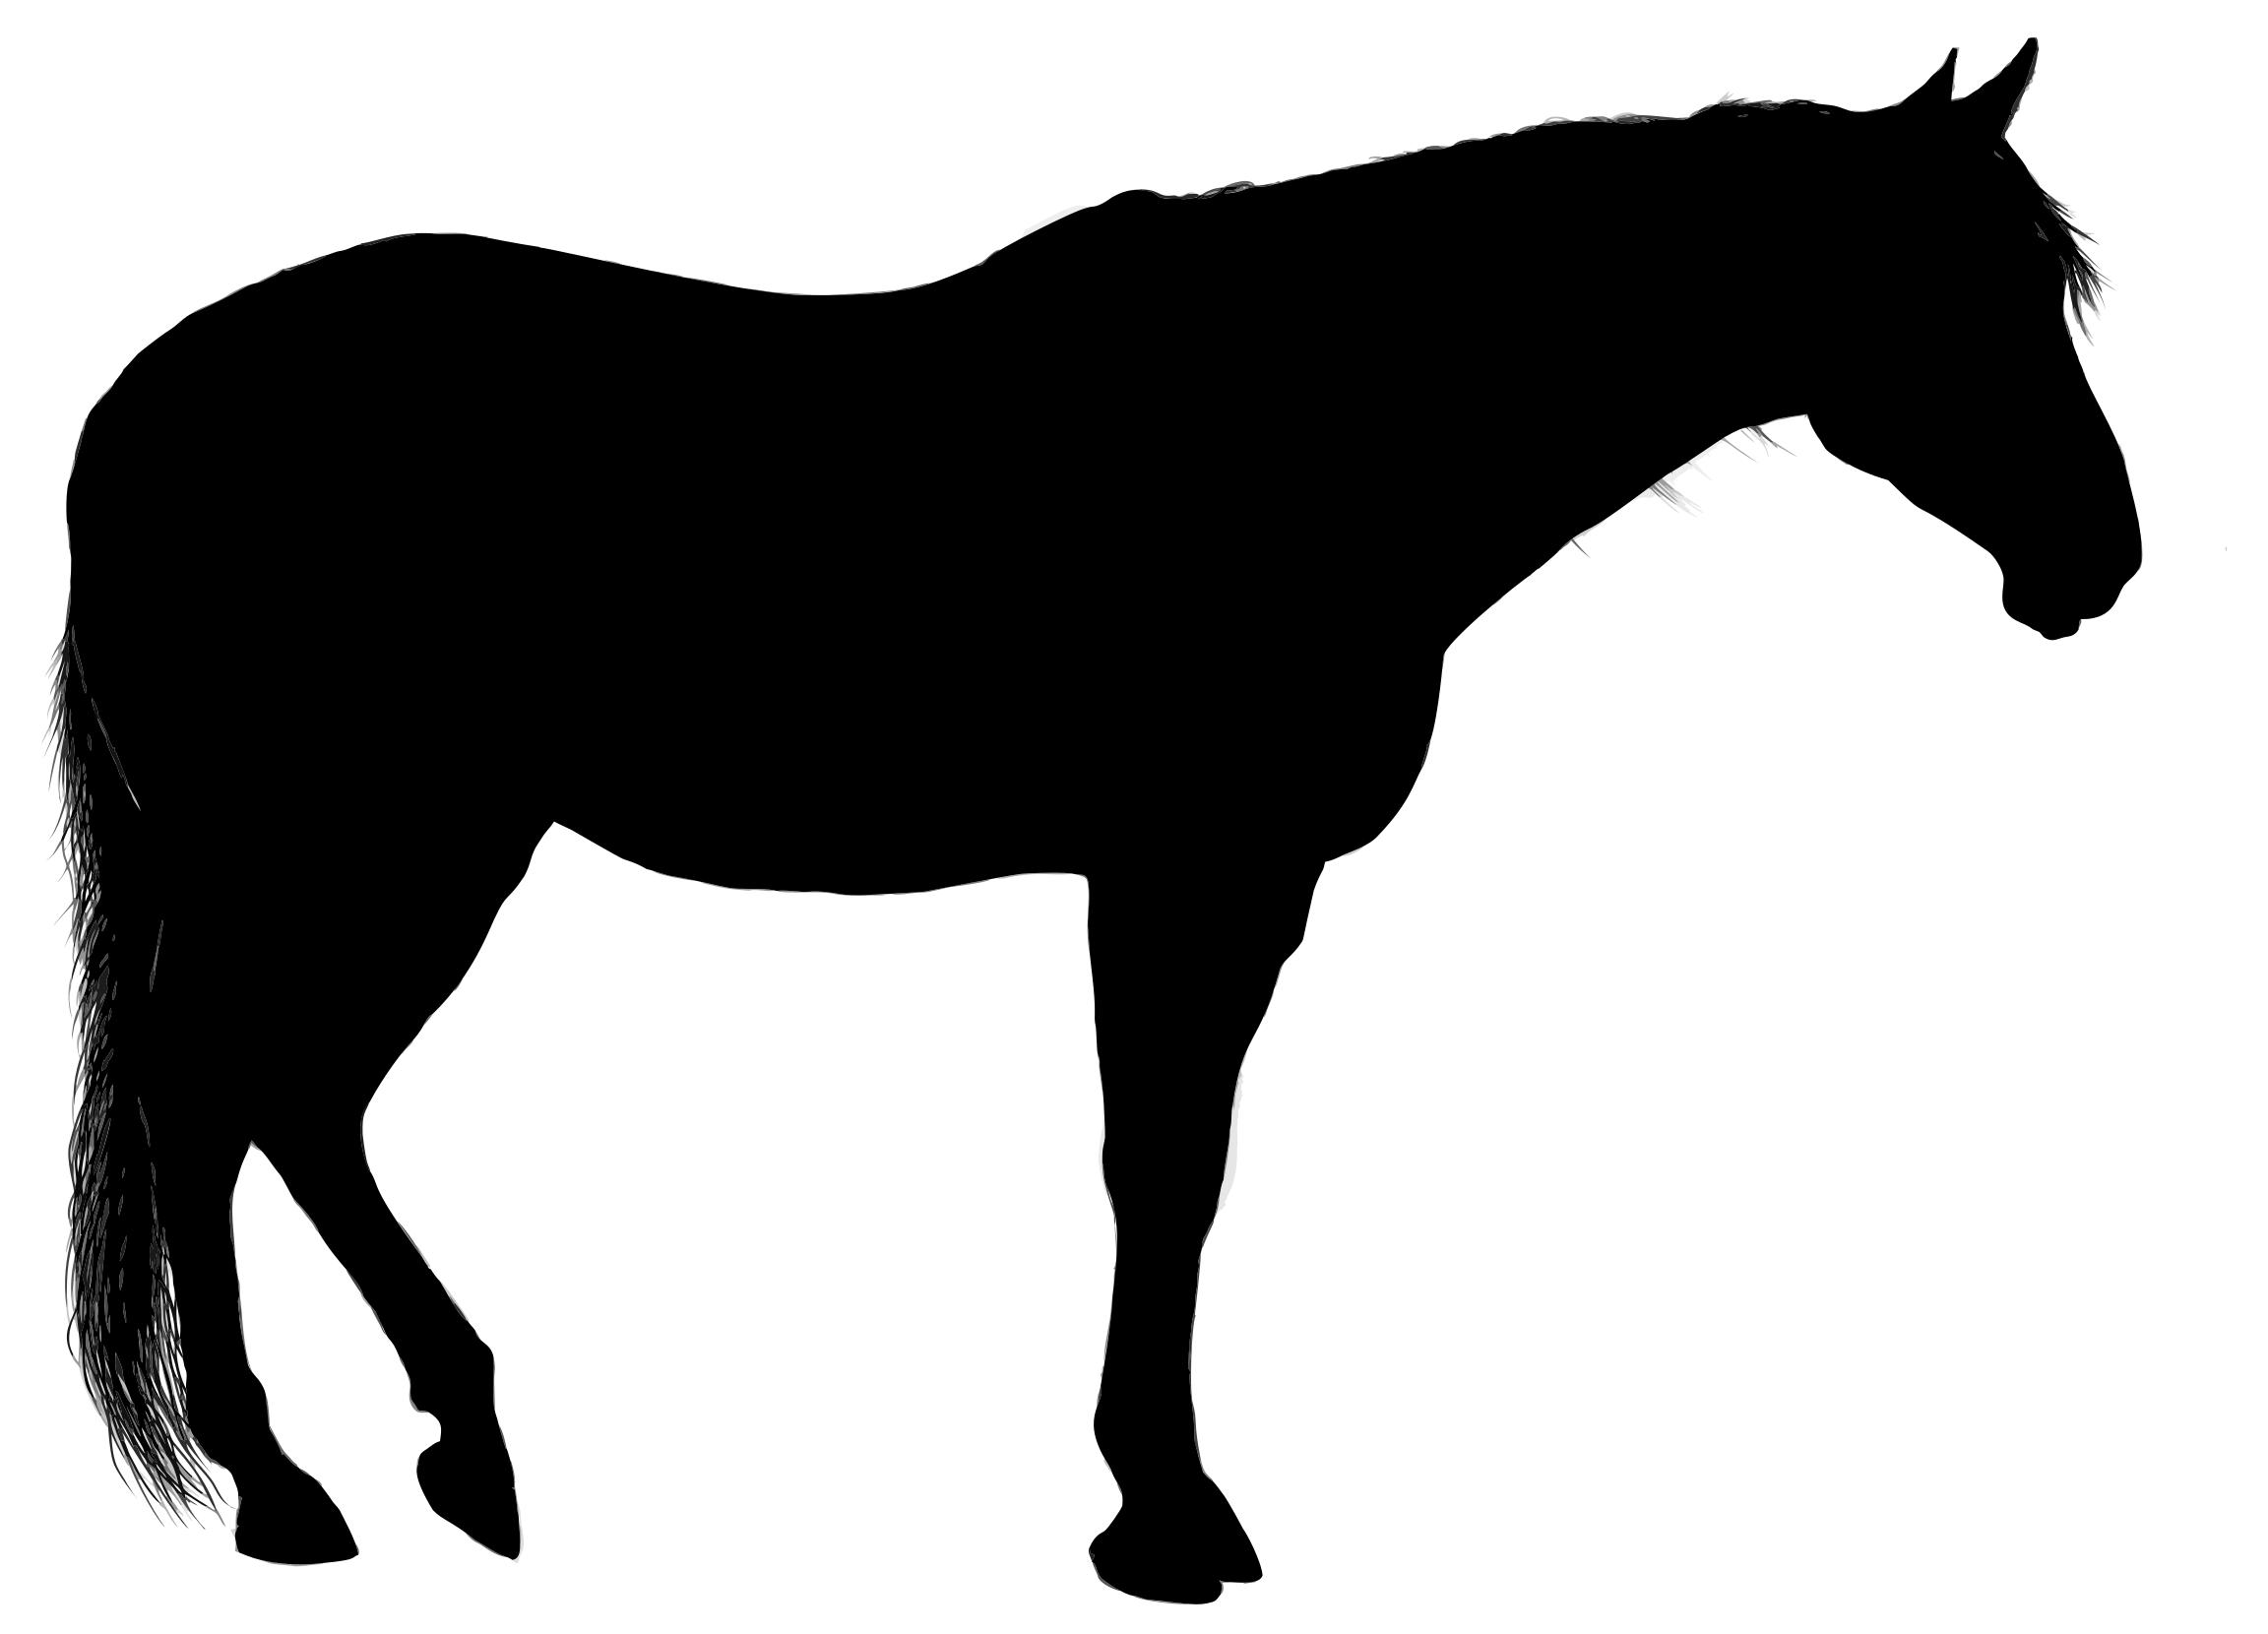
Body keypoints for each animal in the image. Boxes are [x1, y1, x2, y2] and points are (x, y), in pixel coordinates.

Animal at [52, 40, 2137, 1604]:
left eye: (2039, 285)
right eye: (1944, 285)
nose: (2095, 559)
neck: (1318, 424)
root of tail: (136, 410)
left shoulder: (1208, 887)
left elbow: (1175, 1173)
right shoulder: (1189, 877)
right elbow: (1166, 1173)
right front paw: (1164, 1515)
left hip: (411, 851)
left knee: (283, 1099)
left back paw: (451, 1446)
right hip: (357, 847)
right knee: (217, 1092)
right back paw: (282, 1484)